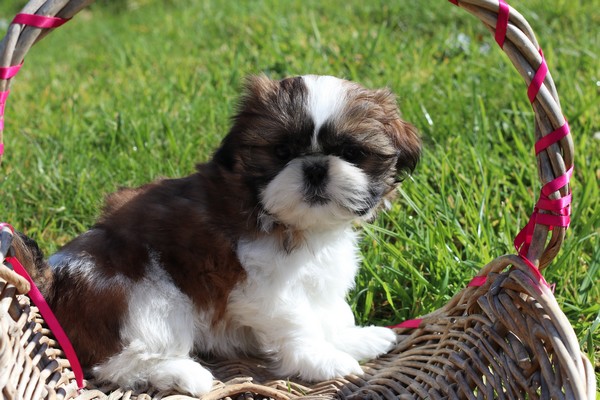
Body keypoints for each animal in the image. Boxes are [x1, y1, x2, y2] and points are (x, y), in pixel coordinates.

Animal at [23, 75, 421, 395]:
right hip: (147, 300)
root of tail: (54, 279)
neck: (289, 220)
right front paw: (323, 361)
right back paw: (185, 375)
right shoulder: (262, 287)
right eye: (281, 151)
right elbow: (299, 323)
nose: (315, 167)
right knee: (119, 361)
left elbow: (333, 312)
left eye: (351, 152)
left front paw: (356, 339)